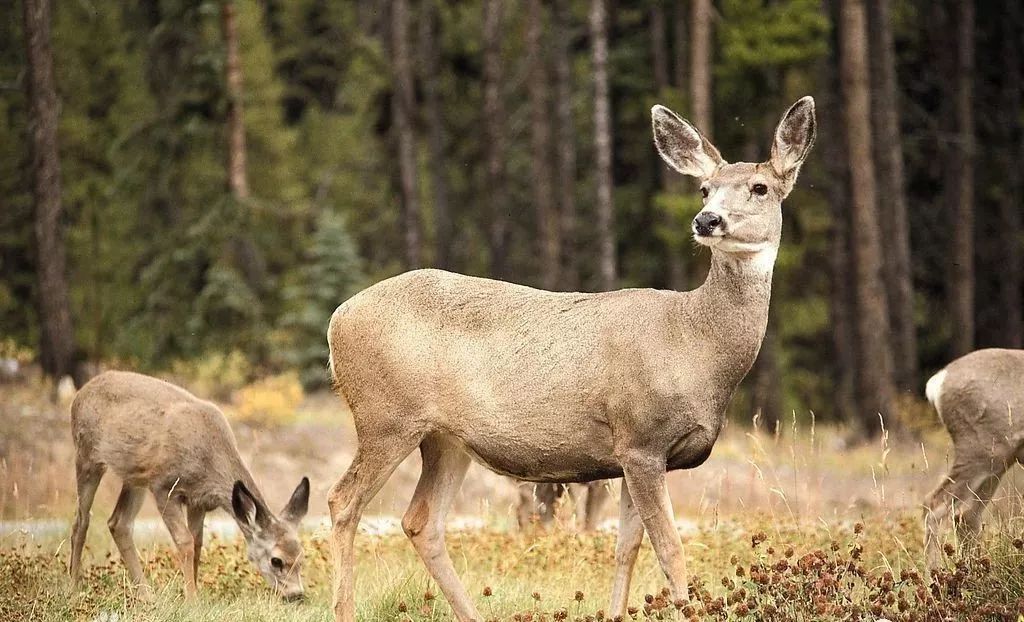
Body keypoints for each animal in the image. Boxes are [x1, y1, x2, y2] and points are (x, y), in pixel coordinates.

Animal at [68, 372, 309, 602]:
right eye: (276, 560)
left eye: (301, 556)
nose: (296, 595)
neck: (208, 460)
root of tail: (80, 394)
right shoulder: (164, 487)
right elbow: (184, 541)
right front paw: (192, 600)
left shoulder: (199, 501)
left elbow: (197, 543)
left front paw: (194, 592)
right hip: (87, 455)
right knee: (82, 520)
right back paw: (73, 587)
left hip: (135, 477)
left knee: (118, 523)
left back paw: (146, 595)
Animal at [325, 94, 815, 618]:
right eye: (705, 189)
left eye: (760, 187)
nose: (707, 220)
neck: (694, 345)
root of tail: (336, 321)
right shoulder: (640, 437)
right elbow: (670, 549)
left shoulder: (636, 455)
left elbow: (626, 547)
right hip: (386, 417)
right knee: (343, 501)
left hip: (445, 438)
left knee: (421, 520)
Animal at [921, 348, 1024, 573]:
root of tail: (938, 382)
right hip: (980, 452)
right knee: (935, 505)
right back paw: (935, 578)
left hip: (997, 462)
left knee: (965, 515)